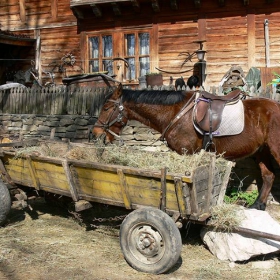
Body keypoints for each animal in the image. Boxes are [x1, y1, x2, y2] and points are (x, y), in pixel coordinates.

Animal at [92, 83, 280, 210]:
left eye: (106, 108)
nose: (96, 133)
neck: (177, 113)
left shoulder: (187, 153)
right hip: (262, 151)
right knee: (269, 176)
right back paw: (258, 205)